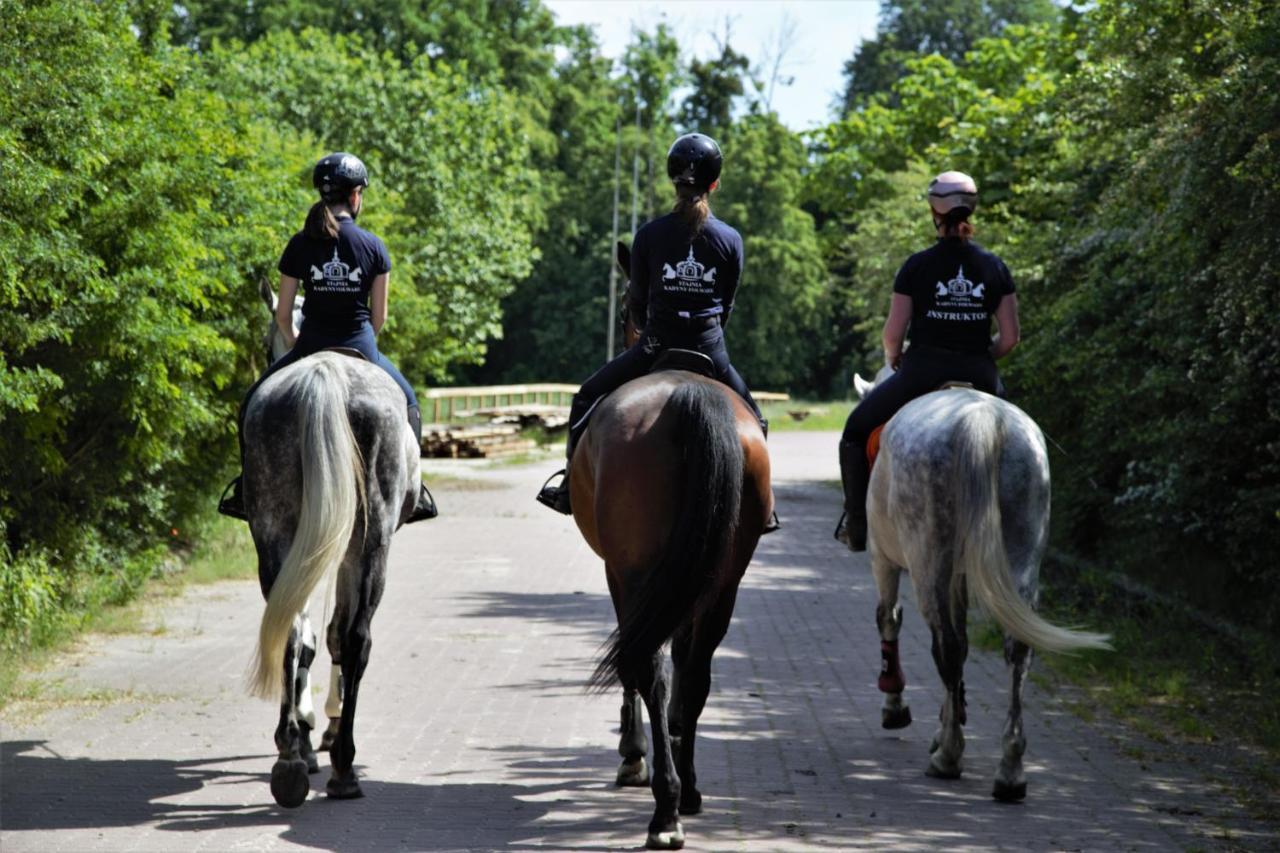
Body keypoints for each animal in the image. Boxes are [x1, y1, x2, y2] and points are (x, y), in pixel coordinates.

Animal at [240, 281, 419, 809]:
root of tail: (325, 375)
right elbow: (337, 632)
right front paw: (328, 723)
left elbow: (313, 635)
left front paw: (305, 730)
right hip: (370, 539)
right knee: (355, 637)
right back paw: (341, 764)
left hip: (275, 529)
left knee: (292, 631)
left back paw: (291, 761)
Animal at [849, 368, 1111, 799]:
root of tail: (983, 420)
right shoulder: (958, 575)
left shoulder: (883, 558)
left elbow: (889, 617)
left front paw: (896, 705)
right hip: (1020, 552)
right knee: (1015, 650)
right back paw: (1009, 770)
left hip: (928, 564)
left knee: (946, 647)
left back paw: (948, 756)